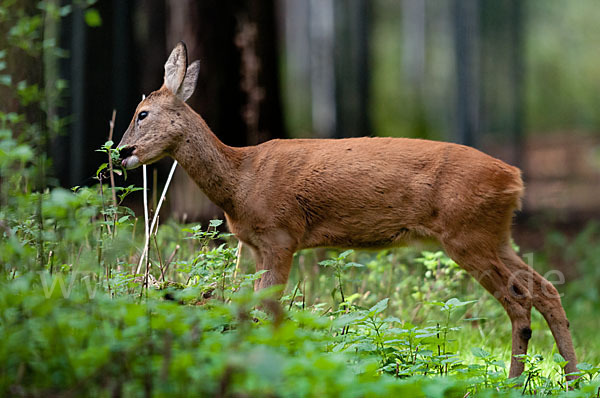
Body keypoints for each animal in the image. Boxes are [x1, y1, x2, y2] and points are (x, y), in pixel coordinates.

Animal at [117, 41, 576, 380]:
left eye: (142, 113)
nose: (121, 152)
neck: (240, 179)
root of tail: (515, 178)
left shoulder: (281, 235)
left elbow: (269, 307)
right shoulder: (256, 245)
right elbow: (248, 305)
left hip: (467, 235)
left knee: (519, 298)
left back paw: (517, 381)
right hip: (494, 234)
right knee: (545, 289)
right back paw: (568, 378)